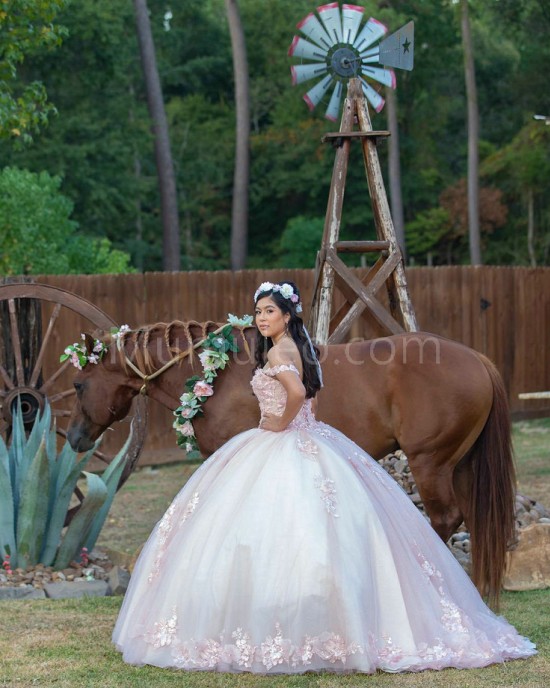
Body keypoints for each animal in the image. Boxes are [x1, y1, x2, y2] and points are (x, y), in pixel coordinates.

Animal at [66, 322, 516, 600]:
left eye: (78, 383)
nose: (73, 437)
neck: (218, 374)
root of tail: (478, 360)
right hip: (461, 466)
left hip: (430, 463)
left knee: (444, 519)